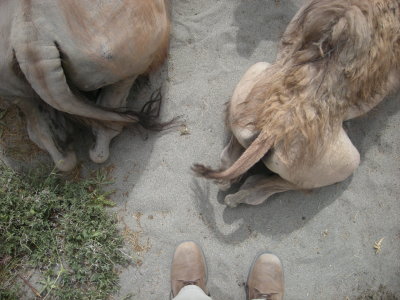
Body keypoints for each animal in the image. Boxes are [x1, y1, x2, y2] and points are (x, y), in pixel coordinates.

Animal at [194, 0, 400, 206]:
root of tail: (273, 129)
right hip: (347, 161)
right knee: (289, 184)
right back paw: (245, 193)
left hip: (258, 71)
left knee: (230, 158)